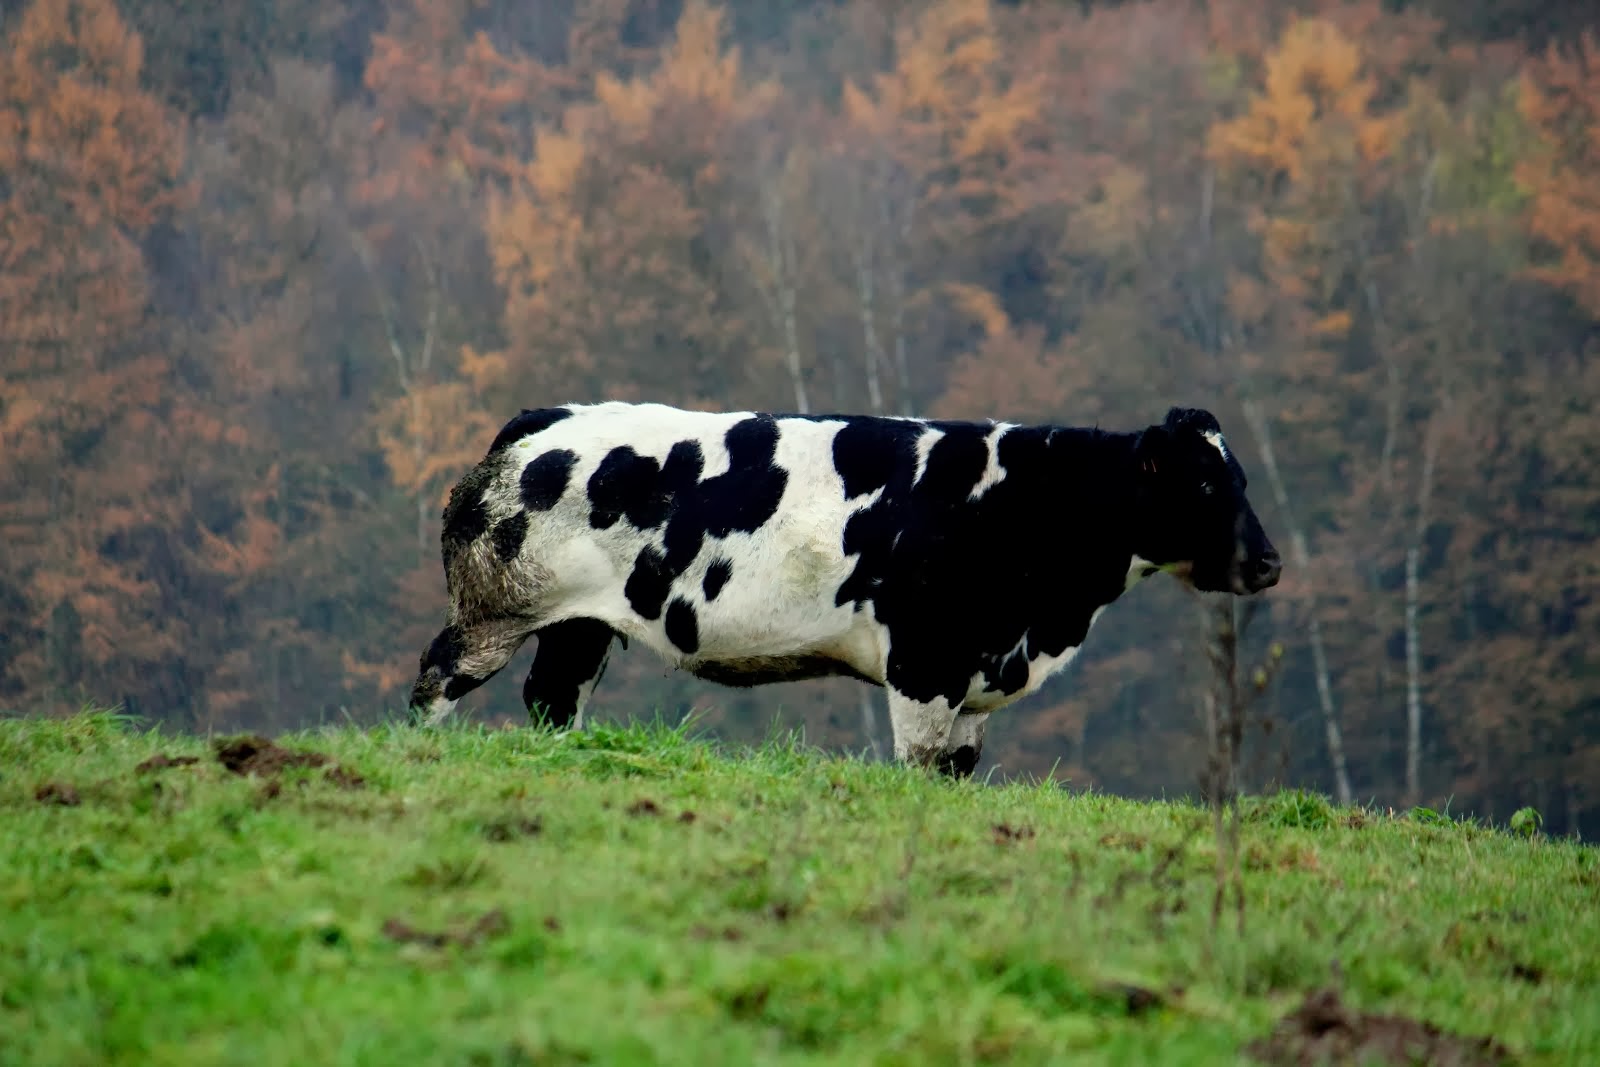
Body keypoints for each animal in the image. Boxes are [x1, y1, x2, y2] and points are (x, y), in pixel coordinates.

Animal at [406, 399, 1280, 777]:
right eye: (1207, 485)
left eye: (1240, 478)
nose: (1270, 563)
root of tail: (545, 417)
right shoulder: (925, 662)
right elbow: (917, 764)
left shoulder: (972, 682)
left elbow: (957, 771)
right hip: (491, 611)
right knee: (437, 678)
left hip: (579, 626)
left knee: (553, 699)